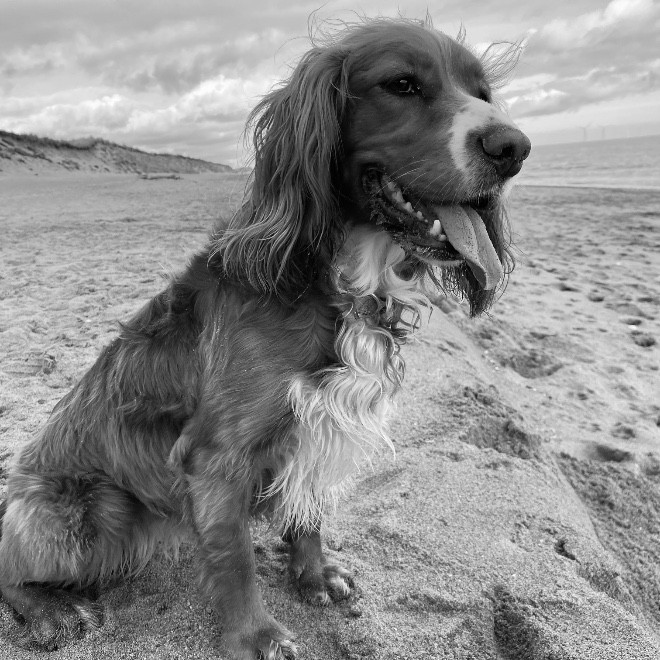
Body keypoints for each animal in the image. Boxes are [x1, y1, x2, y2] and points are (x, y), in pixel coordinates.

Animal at [0, 17, 530, 660]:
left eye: (483, 93)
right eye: (402, 84)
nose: (513, 148)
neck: (334, 275)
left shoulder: (322, 416)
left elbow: (308, 511)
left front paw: (314, 574)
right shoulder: (216, 455)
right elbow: (234, 559)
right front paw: (255, 636)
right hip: (90, 513)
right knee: (8, 568)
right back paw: (48, 611)